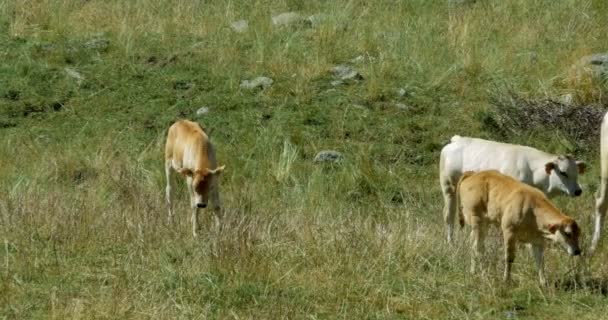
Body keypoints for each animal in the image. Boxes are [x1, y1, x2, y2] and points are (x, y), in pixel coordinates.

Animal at [440, 135, 588, 242]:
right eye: (563, 172)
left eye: (577, 172)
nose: (578, 191)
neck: (532, 172)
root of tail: (458, 140)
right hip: (448, 188)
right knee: (448, 216)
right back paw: (450, 242)